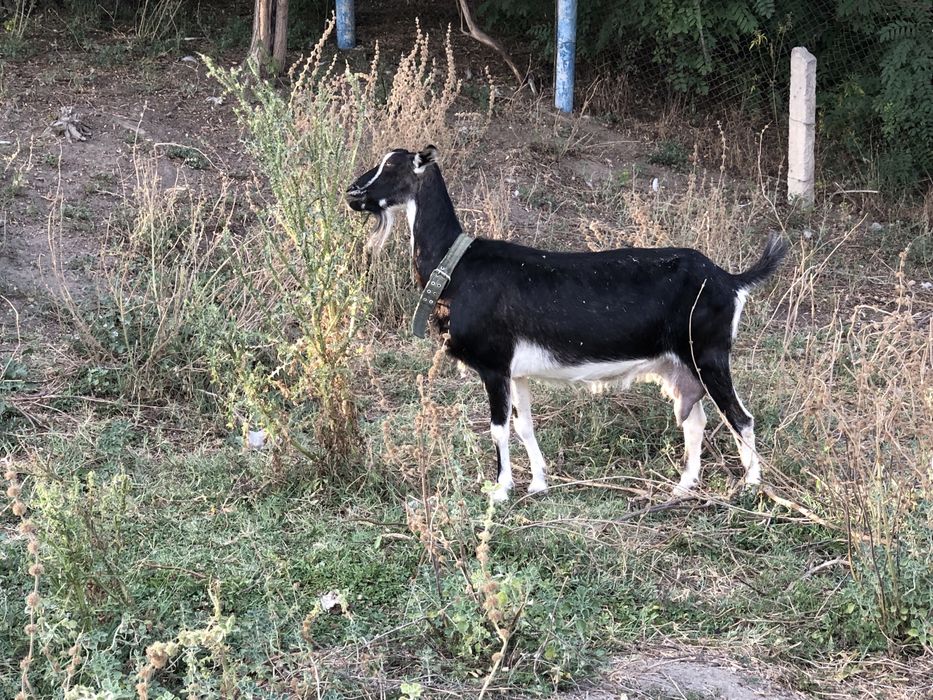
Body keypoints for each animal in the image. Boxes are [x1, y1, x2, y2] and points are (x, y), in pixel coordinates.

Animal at [347, 146, 788, 502]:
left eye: (391, 167)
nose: (353, 193)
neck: (455, 266)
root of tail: (730, 279)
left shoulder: (494, 365)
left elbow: (498, 429)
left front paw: (501, 490)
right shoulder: (517, 373)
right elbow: (524, 426)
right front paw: (538, 484)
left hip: (708, 354)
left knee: (740, 417)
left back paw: (750, 487)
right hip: (677, 367)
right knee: (694, 419)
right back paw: (684, 486)